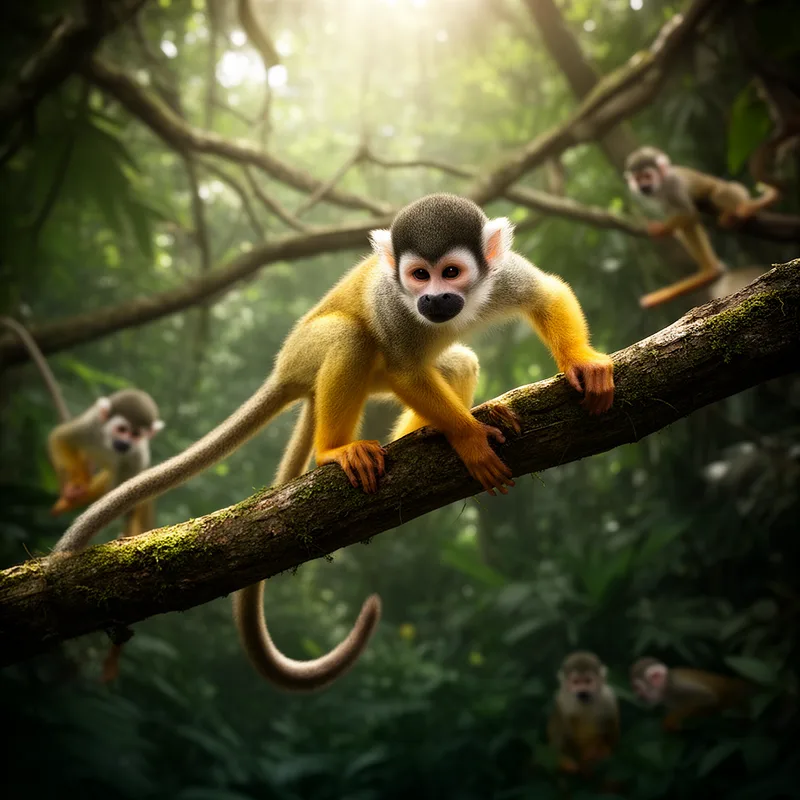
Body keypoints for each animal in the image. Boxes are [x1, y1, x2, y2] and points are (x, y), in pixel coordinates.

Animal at [53, 193, 614, 692]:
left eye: (451, 272)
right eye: (419, 275)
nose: (433, 299)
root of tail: (285, 370)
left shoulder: (502, 274)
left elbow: (545, 293)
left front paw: (581, 361)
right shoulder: (392, 304)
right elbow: (407, 367)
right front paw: (469, 438)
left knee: (456, 360)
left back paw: (423, 431)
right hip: (308, 350)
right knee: (353, 337)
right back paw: (336, 450)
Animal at [624, 146, 780, 309]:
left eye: (647, 176)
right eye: (638, 178)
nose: (643, 186)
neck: (662, 185)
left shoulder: (674, 185)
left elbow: (688, 213)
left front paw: (661, 230)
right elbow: (680, 217)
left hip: (734, 190)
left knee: (718, 194)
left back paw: (743, 210)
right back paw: (710, 271)